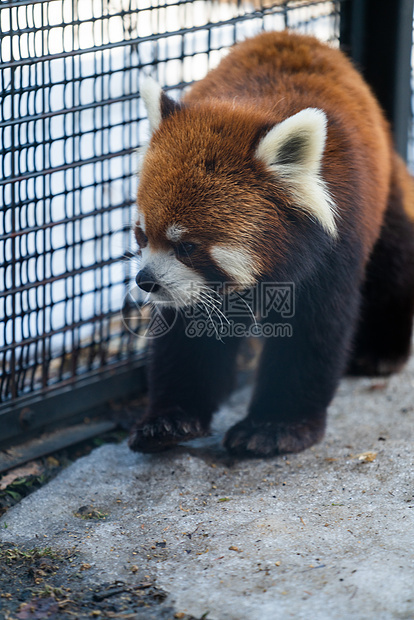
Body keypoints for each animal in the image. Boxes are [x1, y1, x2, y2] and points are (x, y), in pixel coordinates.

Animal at [129, 31, 414, 456]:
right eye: (143, 235)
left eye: (188, 246)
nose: (145, 281)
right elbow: (189, 337)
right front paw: (169, 420)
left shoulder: (334, 246)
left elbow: (311, 334)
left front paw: (273, 428)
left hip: (385, 199)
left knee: (393, 261)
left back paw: (380, 352)